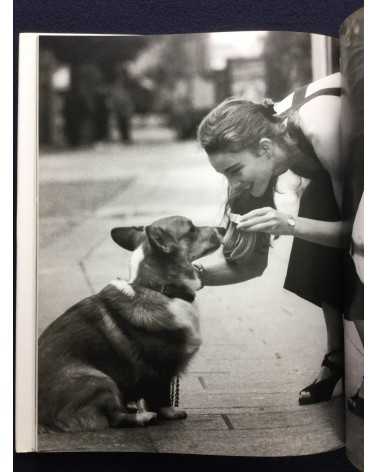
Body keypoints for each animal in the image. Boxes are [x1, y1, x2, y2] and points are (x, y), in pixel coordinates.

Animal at [38, 217, 224, 432]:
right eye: (191, 229)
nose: (223, 228)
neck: (160, 289)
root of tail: (42, 419)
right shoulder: (159, 368)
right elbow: (161, 397)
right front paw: (170, 412)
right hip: (99, 379)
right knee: (115, 418)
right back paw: (143, 417)